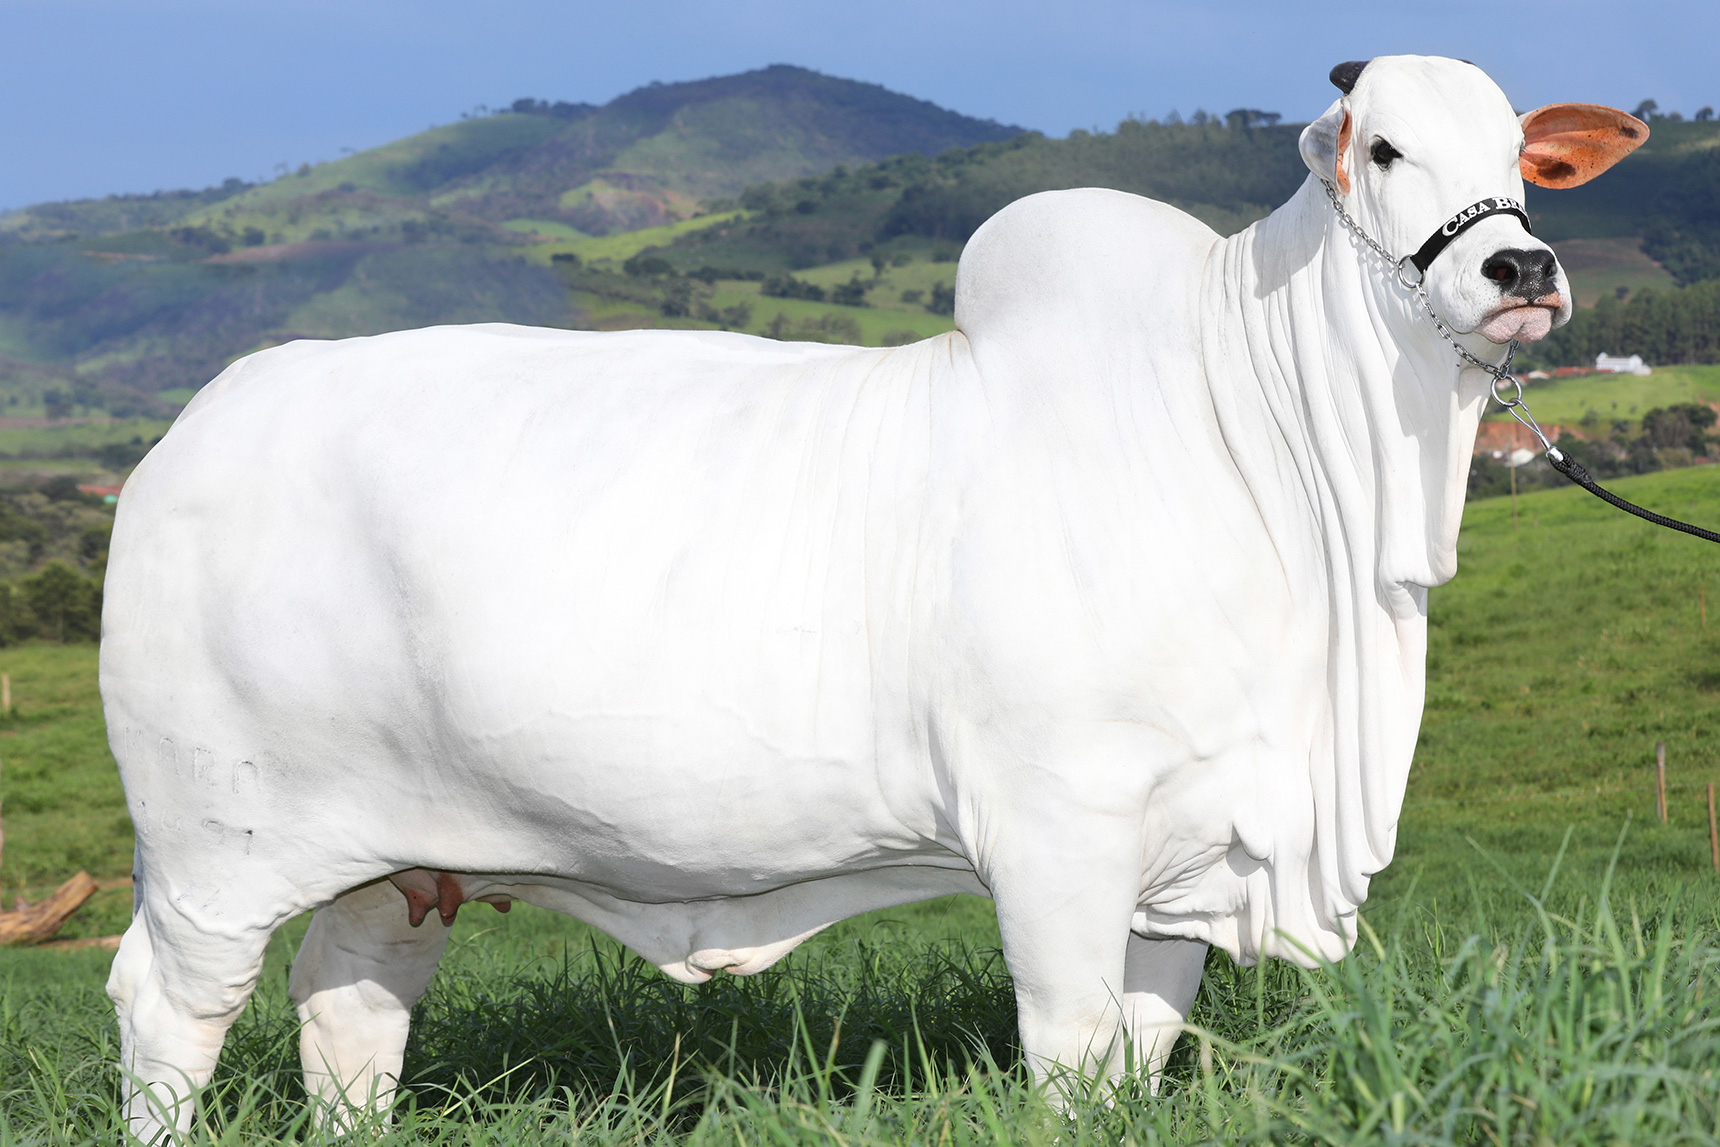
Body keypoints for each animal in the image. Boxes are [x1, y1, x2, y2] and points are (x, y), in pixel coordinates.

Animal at [100, 58, 1644, 1134]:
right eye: (1382, 146)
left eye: (1524, 161)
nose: (1521, 266)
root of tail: (193, 430)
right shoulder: (1057, 834)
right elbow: (1073, 1057)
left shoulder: (1184, 860)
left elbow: (1139, 1057)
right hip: (214, 848)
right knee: (167, 1012)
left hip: (401, 859)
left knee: (348, 1007)